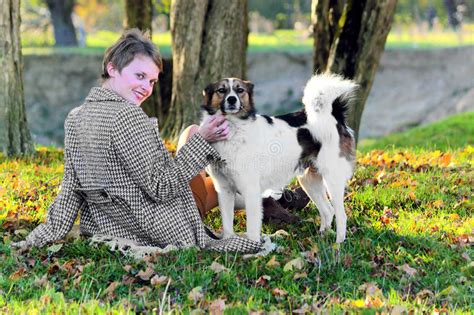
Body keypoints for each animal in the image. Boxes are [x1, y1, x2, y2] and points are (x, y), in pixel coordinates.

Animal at [200, 74, 356, 244]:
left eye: (239, 90)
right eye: (221, 90)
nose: (232, 100)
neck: (233, 128)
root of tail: (334, 115)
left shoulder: (251, 190)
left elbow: (252, 229)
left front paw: (253, 248)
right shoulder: (224, 190)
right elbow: (227, 226)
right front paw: (229, 245)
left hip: (332, 179)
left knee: (341, 215)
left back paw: (338, 245)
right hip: (309, 181)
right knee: (328, 211)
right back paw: (322, 237)